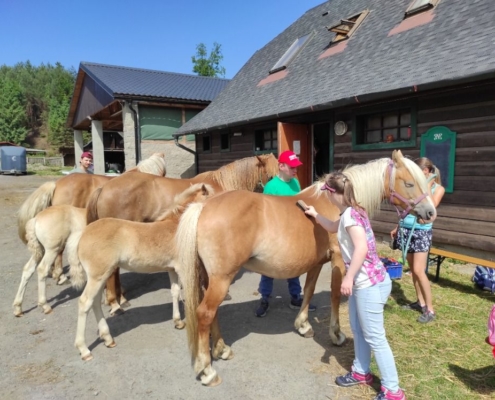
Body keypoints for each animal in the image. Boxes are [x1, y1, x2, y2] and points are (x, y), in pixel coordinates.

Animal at [69, 183, 215, 360]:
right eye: (212, 197)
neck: (178, 226)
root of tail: (82, 234)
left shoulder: (172, 269)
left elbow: (175, 292)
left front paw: (178, 322)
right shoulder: (182, 268)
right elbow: (190, 294)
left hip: (100, 276)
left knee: (95, 302)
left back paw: (108, 338)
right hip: (97, 276)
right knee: (85, 302)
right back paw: (84, 349)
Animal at [175, 149, 438, 384]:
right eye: (409, 183)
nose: (430, 212)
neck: (333, 203)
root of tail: (204, 206)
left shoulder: (316, 263)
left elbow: (309, 290)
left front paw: (303, 325)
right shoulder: (339, 261)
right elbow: (334, 295)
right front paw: (336, 334)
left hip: (211, 279)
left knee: (212, 313)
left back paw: (221, 349)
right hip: (222, 278)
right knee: (204, 313)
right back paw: (207, 369)